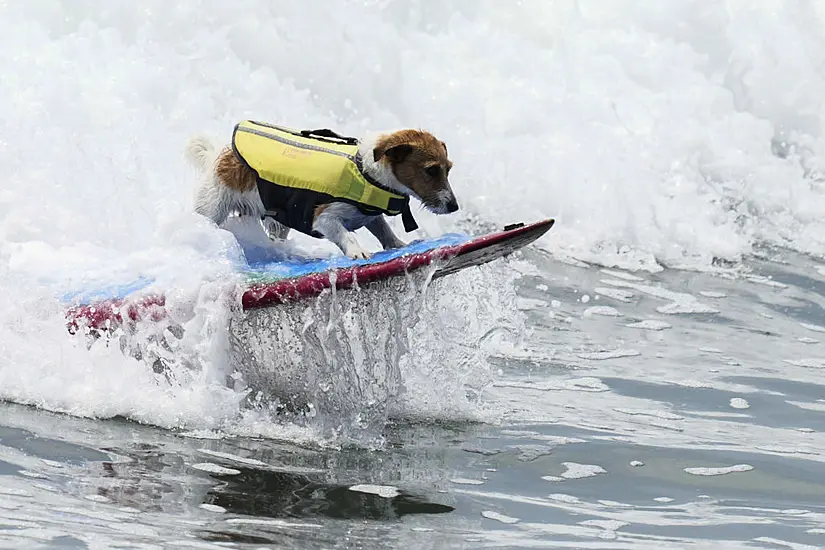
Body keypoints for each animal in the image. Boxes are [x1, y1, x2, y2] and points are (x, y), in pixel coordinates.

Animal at [183, 122, 460, 260]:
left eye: (448, 169)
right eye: (431, 170)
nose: (454, 206)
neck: (366, 172)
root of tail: (220, 156)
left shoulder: (371, 216)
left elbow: (384, 230)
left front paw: (398, 244)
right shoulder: (324, 219)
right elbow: (346, 235)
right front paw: (357, 251)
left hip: (276, 223)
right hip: (212, 208)